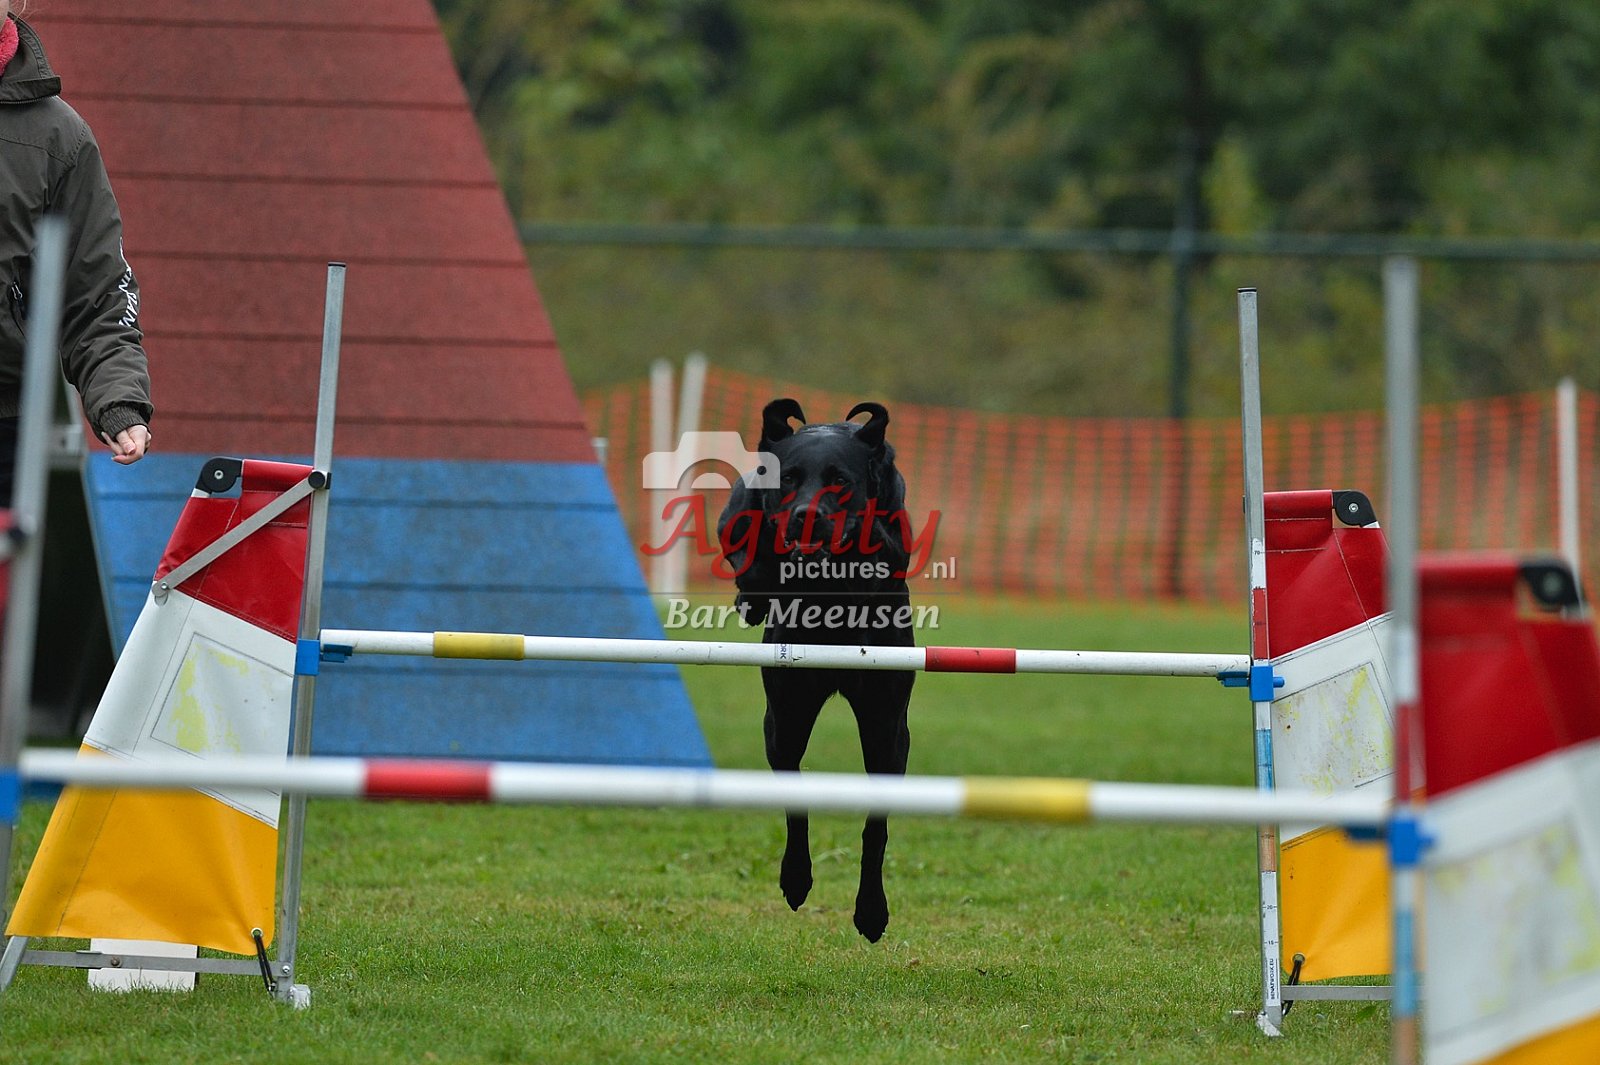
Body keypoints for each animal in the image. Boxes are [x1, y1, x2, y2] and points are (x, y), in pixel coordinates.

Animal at [717, 398, 915, 942]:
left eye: (840, 481)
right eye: (788, 479)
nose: (805, 517)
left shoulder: (886, 721)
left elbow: (876, 823)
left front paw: (871, 911)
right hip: (784, 719)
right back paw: (796, 878)